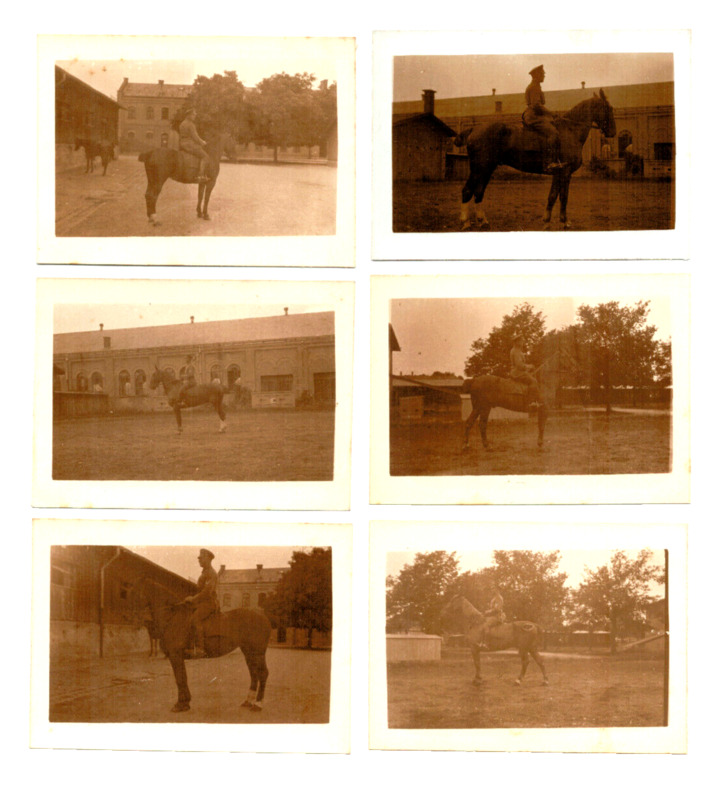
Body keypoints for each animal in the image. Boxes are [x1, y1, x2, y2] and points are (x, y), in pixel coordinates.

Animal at [140, 580, 272, 716]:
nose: (144, 620)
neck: (173, 617)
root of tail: (263, 616)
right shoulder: (177, 656)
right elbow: (182, 678)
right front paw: (185, 703)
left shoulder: (175, 655)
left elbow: (180, 679)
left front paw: (180, 704)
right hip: (248, 652)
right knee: (254, 673)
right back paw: (248, 701)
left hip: (258, 652)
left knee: (263, 673)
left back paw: (258, 704)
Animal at [456, 91, 620, 232]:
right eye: (608, 108)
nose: (613, 132)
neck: (570, 131)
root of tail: (474, 129)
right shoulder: (564, 172)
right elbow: (562, 197)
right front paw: (562, 222)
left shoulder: (560, 174)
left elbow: (554, 196)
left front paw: (549, 221)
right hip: (479, 168)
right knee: (468, 190)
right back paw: (466, 223)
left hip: (487, 169)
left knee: (478, 191)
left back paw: (483, 221)